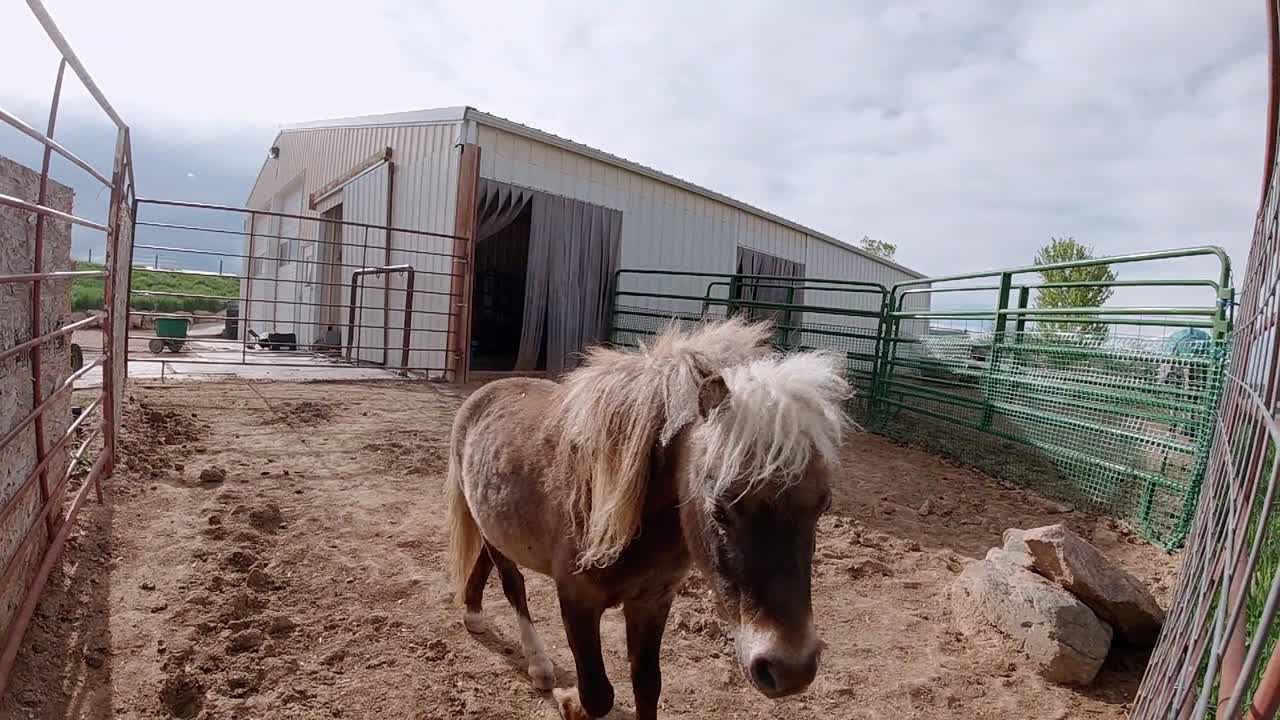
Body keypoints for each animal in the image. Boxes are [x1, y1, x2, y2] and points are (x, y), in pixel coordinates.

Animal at [445, 318, 851, 719]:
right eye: (719, 508)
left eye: (823, 505)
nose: (790, 669)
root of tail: (484, 394)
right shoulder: (577, 599)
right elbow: (598, 695)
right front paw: (571, 703)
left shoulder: (653, 601)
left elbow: (647, 686)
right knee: (513, 584)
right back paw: (537, 663)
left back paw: (474, 612)